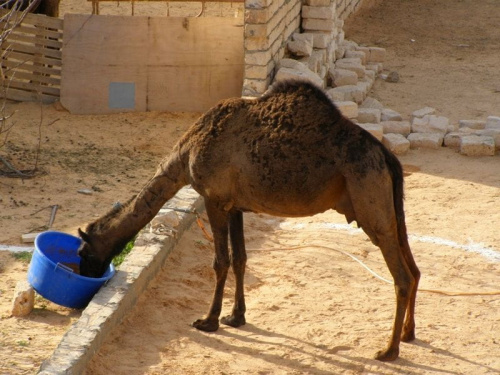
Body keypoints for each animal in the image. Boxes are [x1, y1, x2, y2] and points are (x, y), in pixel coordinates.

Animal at [78, 80, 420, 362]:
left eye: (83, 253)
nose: (88, 284)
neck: (186, 153)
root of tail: (387, 157)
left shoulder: (214, 198)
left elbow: (220, 261)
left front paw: (208, 321)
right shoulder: (235, 205)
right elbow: (240, 258)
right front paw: (235, 317)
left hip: (369, 196)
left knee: (401, 276)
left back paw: (388, 351)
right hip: (390, 206)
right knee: (414, 267)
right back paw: (407, 333)